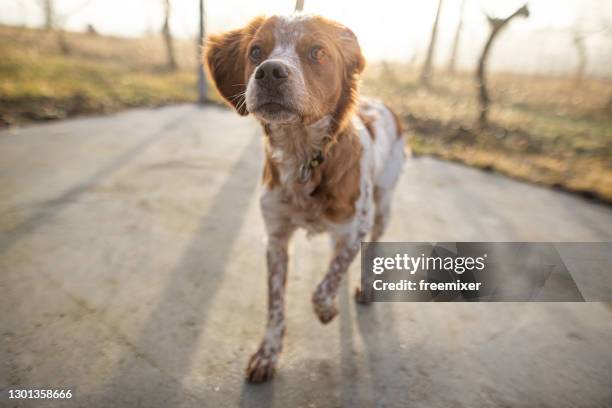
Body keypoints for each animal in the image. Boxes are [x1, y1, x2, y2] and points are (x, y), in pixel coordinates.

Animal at [204, 13, 406, 382]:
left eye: (317, 52)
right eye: (256, 51)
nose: (270, 72)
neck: (303, 156)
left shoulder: (355, 228)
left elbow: (325, 285)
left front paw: (326, 309)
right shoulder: (276, 238)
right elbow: (276, 304)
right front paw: (268, 353)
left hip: (384, 203)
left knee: (372, 243)